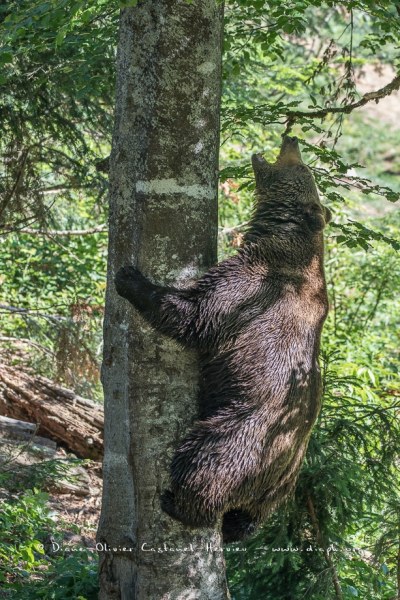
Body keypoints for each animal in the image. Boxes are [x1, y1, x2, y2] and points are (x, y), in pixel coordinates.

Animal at [115, 136, 332, 544]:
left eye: (303, 168)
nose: (291, 138)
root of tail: (269, 481)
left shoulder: (252, 289)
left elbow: (196, 316)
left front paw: (130, 278)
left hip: (242, 434)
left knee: (202, 462)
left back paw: (176, 502)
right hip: (284, 481)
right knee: (249, 516)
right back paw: (235, 527)